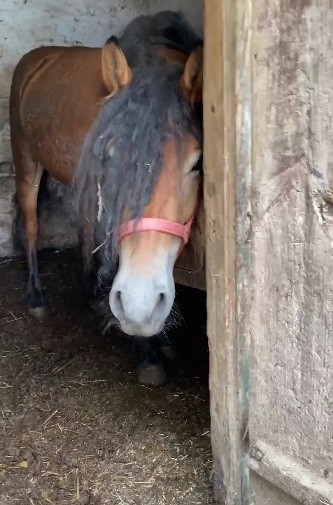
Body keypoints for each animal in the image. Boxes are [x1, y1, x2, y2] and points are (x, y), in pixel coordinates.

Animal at [9, 9, 202, 384]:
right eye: (110, 155)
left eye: (197, 162)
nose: (140, 305)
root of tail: (35, 57)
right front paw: (148, 354)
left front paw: (163, 340)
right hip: (26, 162)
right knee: (32, 226)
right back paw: (36, 297)